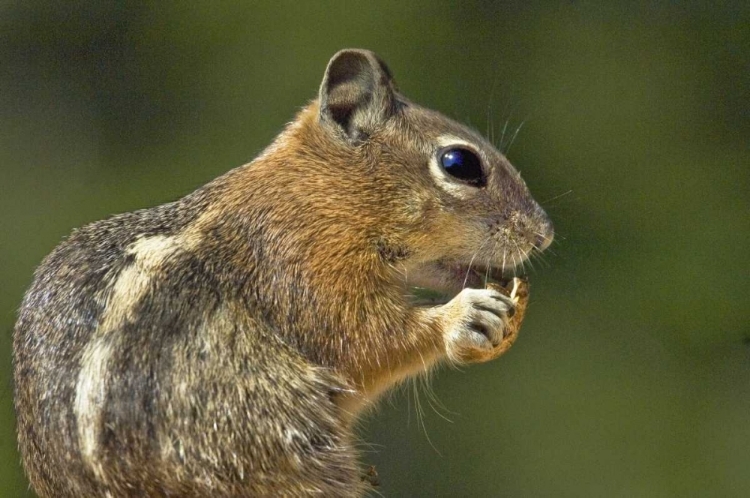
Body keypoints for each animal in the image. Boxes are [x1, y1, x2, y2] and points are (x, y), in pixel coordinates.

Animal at [10, 48, 552, 496]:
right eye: (459, 163)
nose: (544, 232)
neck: (318, 196)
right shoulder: (305, 271)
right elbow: (365, 341)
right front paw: (464, 317)